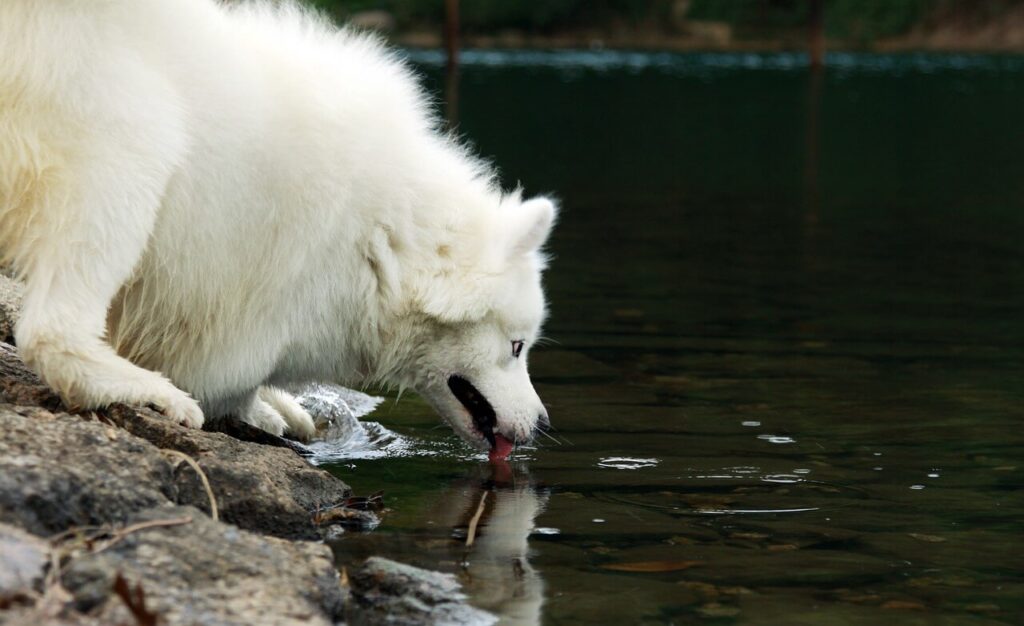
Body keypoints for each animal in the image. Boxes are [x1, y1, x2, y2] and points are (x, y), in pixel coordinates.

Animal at [0, 1, 557, 461]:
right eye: (516, 347)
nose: (544, 423)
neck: (386, 233)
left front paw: (277, 407)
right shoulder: (256, 288)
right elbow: (229, 375)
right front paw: (254, 406)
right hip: (132, 148)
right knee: (49, 331)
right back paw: (146, 390)